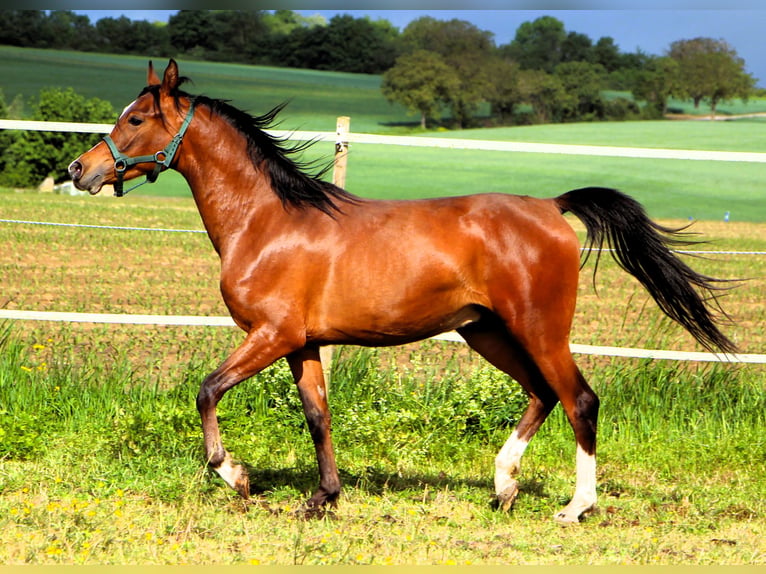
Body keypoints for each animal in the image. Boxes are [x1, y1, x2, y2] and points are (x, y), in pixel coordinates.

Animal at [68, 59, 736, 524]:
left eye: (135, 118)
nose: (81, 170)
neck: (266, 221)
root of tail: (551, 206)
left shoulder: (271, 334)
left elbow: (208, 389)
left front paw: (234, 475)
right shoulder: (302, 343)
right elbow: (318, 415)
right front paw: (322, 498)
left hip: (538, 327)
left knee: (580, 399)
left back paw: (574, 508)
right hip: (486, 330)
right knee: (544, 394)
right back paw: (503, 486)